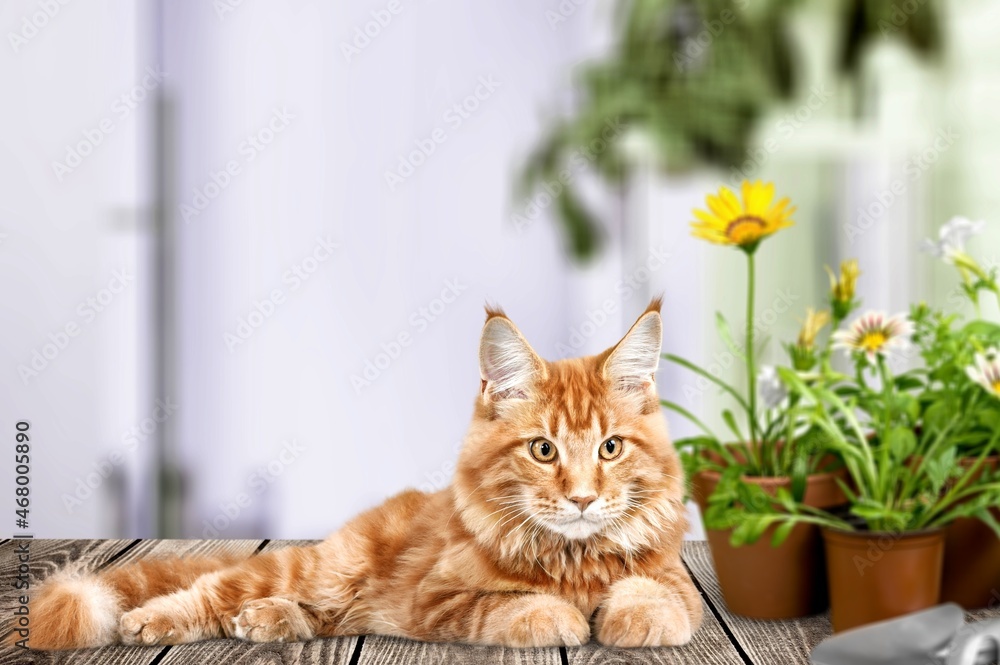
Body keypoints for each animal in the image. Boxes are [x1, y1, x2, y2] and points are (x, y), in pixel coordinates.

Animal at [17, 300, 704, 648]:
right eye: (542, 450)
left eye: (610, 448)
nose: (584, 498)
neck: (572, 559)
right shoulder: (438, 597)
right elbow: (518, 609)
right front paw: (564, 616)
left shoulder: (675, 579)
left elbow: (656, 597)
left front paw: (628, 618)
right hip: (322, 569)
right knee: (215, 590)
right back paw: (151, 621)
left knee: (310, 615)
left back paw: (267, 621)